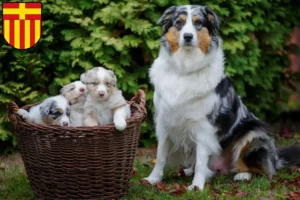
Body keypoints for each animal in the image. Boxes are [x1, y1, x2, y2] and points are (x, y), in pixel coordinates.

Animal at [142, 5, 300, 191]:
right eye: (179, 23)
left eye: (198, 24)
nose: (188, 36)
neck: (184, 69)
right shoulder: (164, 121)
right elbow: (160, 156)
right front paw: (153, 179)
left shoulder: (204, 127)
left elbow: (201, 161)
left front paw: (196, 186)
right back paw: (188, 171)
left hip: (254, 132)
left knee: (262, 170)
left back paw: (242, 174)